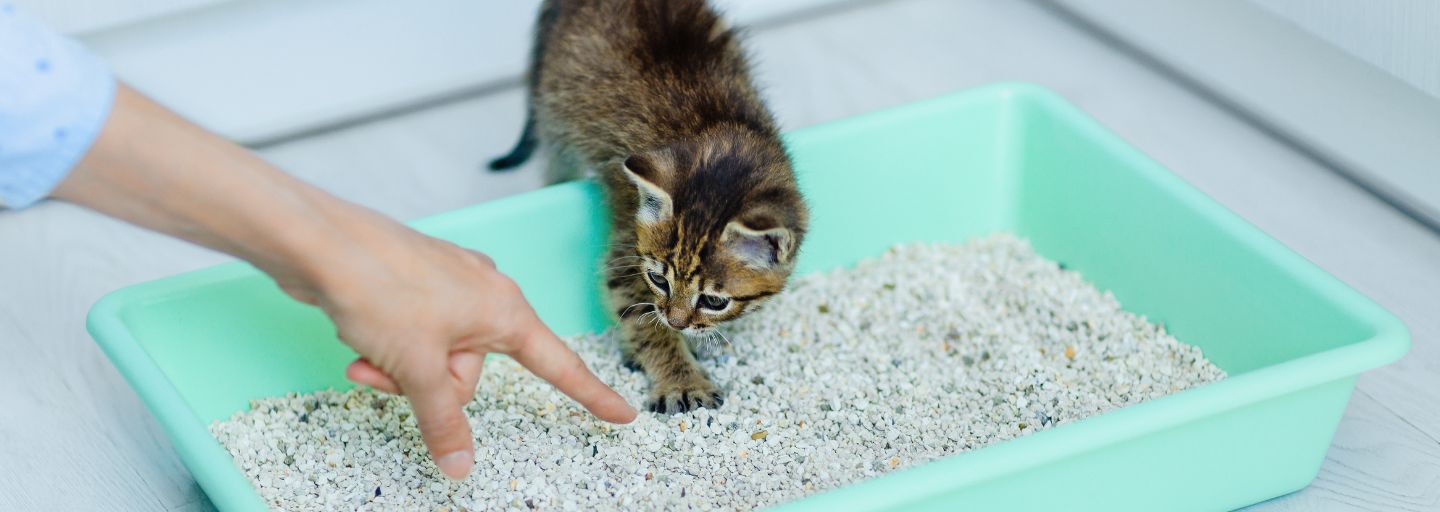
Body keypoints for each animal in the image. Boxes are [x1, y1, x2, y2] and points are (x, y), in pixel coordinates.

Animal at [492, 0, 812, 411]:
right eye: (658, 279)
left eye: (713, 300)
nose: (676, 321)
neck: (716, 130)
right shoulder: (625, 251)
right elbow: (642, 318)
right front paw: (681, 380)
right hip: (554, 120)